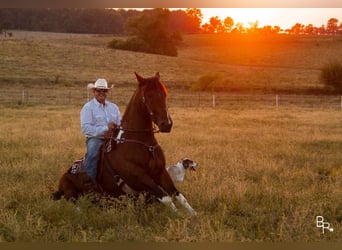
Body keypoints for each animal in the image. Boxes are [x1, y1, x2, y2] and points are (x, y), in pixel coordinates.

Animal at [89, 72, 195, 215]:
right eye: (149, 95)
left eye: (165, 93)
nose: (167, 124)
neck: (144, 144)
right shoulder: (139, 177)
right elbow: (166, 197)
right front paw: (178, 215)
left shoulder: (161, 172)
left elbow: (178, 195)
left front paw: (194, 215)